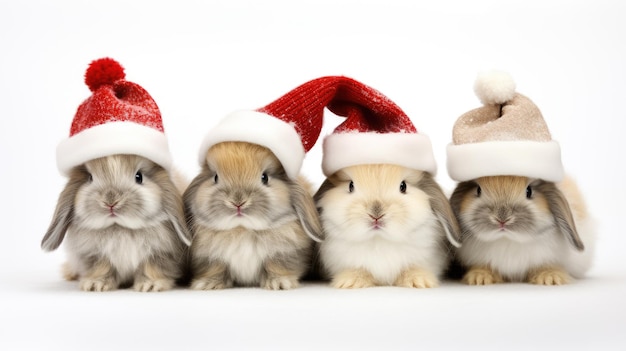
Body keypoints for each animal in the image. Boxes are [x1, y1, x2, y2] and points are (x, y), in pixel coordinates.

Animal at [40, 154, 190, 292]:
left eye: (139, 177)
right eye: (90, 178)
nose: (110, 202)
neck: (120, 228)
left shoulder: (160, 254)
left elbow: (151, 269)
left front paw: (149, 286)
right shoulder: (95, 256)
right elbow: (102, 269)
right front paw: (95, 285)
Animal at [182, 141, 322, 292]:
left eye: (265, 177)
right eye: (215, 177)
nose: (238, 202)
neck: (242, 229)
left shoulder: (284, 254)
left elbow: (277, 266)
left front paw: (279, 283)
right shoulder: (209, 258)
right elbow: (215, 269)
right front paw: (208, 284)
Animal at [314, 164, 460, 288]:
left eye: (403, 186)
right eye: (351, 185)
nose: (376, 214)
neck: (378, 240)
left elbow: (412, 268)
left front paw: (419, 281)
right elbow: (358, 270)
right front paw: (350, 282)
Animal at [450, 176, 592, 286]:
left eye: (529, 191)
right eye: (478, 190)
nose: (502, 219)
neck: (507, 239)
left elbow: (549, 266)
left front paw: (550, 278)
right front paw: (480, 278)